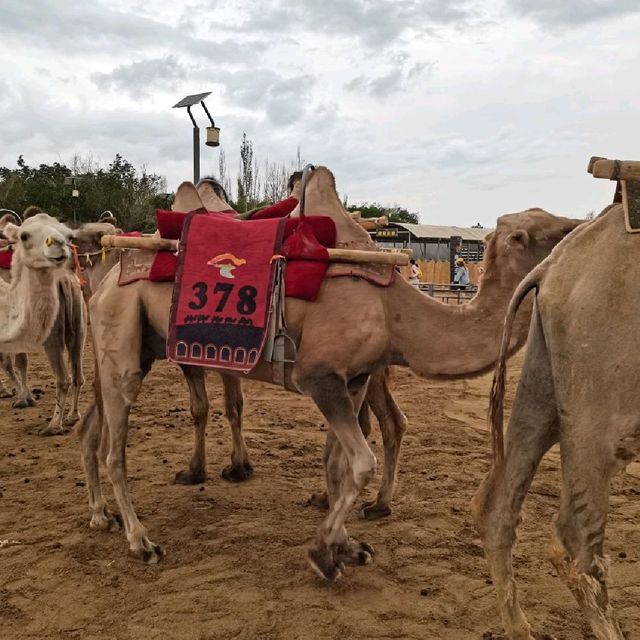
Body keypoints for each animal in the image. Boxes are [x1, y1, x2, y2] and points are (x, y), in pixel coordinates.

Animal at [76, 168, 580, 576]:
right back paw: (141, 541)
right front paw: (325, 552)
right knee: (114, 448)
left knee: (95, 430)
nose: (581, 226)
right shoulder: (319, 378)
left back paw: (104, 516)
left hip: (139, 345)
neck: (391, 308)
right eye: (541, 232)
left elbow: (340, 463)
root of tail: (104, 278)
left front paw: (346, 545)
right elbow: (361, 463)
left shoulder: (353, 380)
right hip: (122, 343)